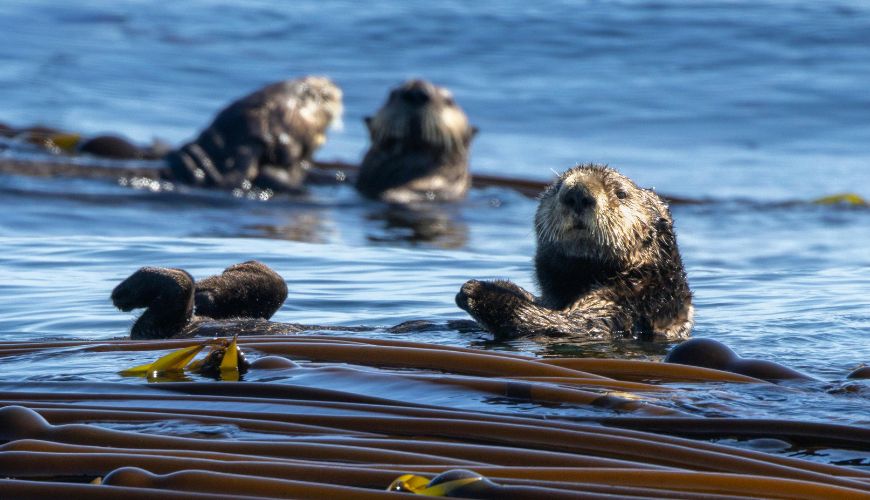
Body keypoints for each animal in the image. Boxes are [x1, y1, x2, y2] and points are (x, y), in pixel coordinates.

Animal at [455, 164, 694, 340]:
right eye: (557, 187)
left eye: (621, 193)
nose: (577, 193)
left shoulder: (625, 307)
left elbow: (566, 324)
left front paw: (475, 290)